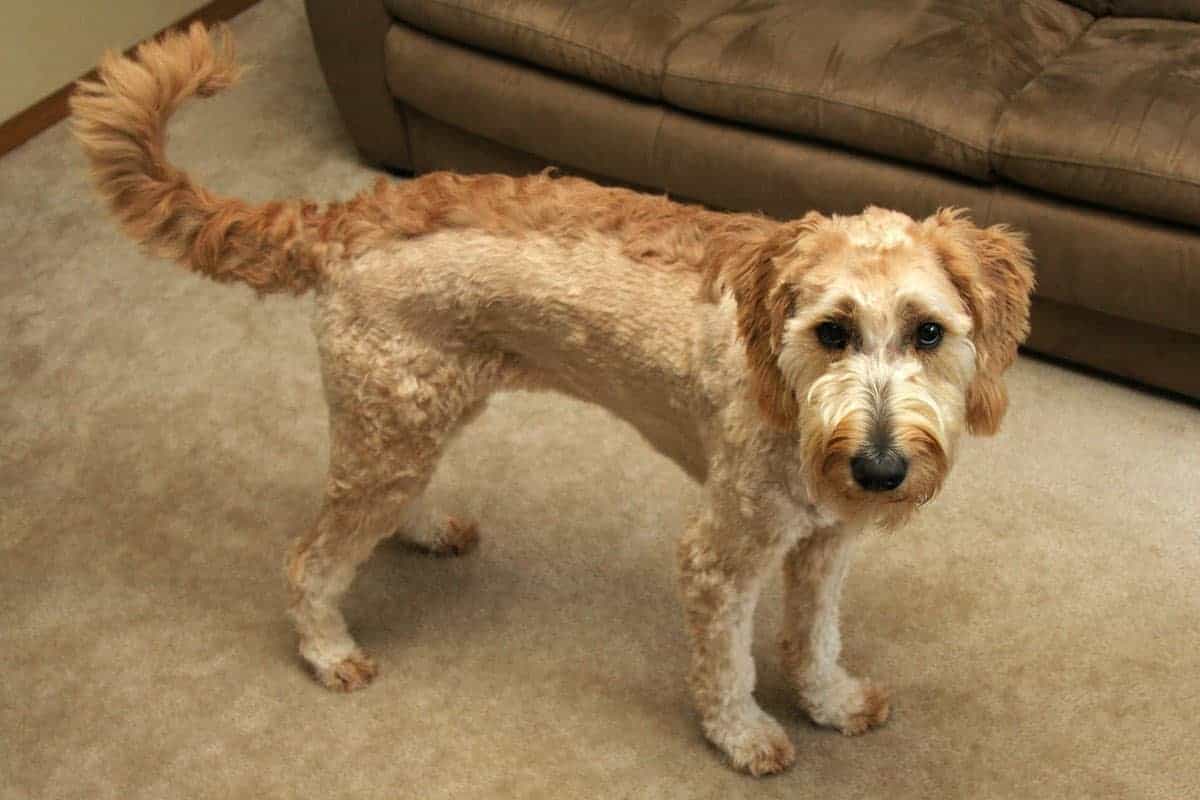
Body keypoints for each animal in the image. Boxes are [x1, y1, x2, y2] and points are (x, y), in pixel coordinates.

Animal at [72, 23, 1032, 777]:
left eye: (929, 333)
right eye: (832, 331)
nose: (880, 469)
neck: (790, 403)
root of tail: (348, 216)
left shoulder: (824, 543)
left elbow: (815, 637)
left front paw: (829, 701)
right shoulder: (721, 555)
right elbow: (728, 667)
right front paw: (746, 737)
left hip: (411, 415)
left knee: (369, 516)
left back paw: (424, 531)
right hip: (393, 428)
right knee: (310, 559)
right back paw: (329, 651)